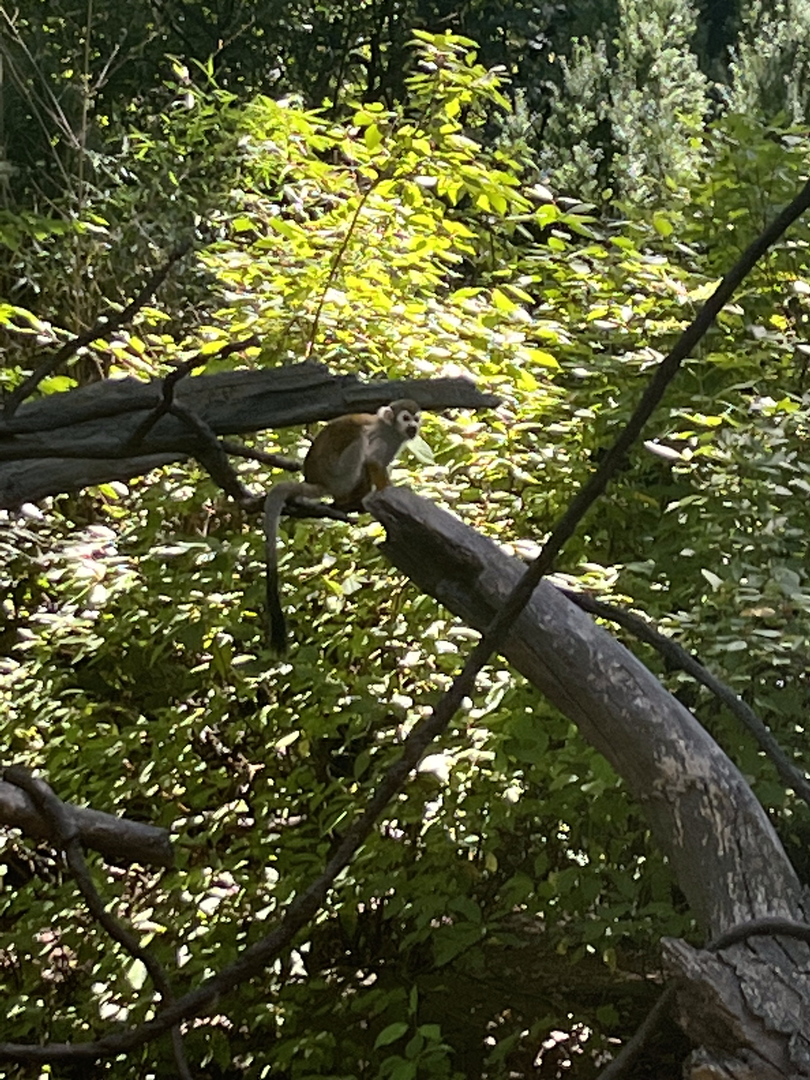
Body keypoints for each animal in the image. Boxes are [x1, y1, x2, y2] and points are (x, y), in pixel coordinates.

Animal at [264, 399, 422, 653]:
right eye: (406, 418)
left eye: (416, 419)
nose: (413, 427)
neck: (392, 430)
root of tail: (316, 481)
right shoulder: (384, 439)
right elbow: (373, 461)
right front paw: (388, 491)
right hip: (338, 475)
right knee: (359, 444)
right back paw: (347, 500)